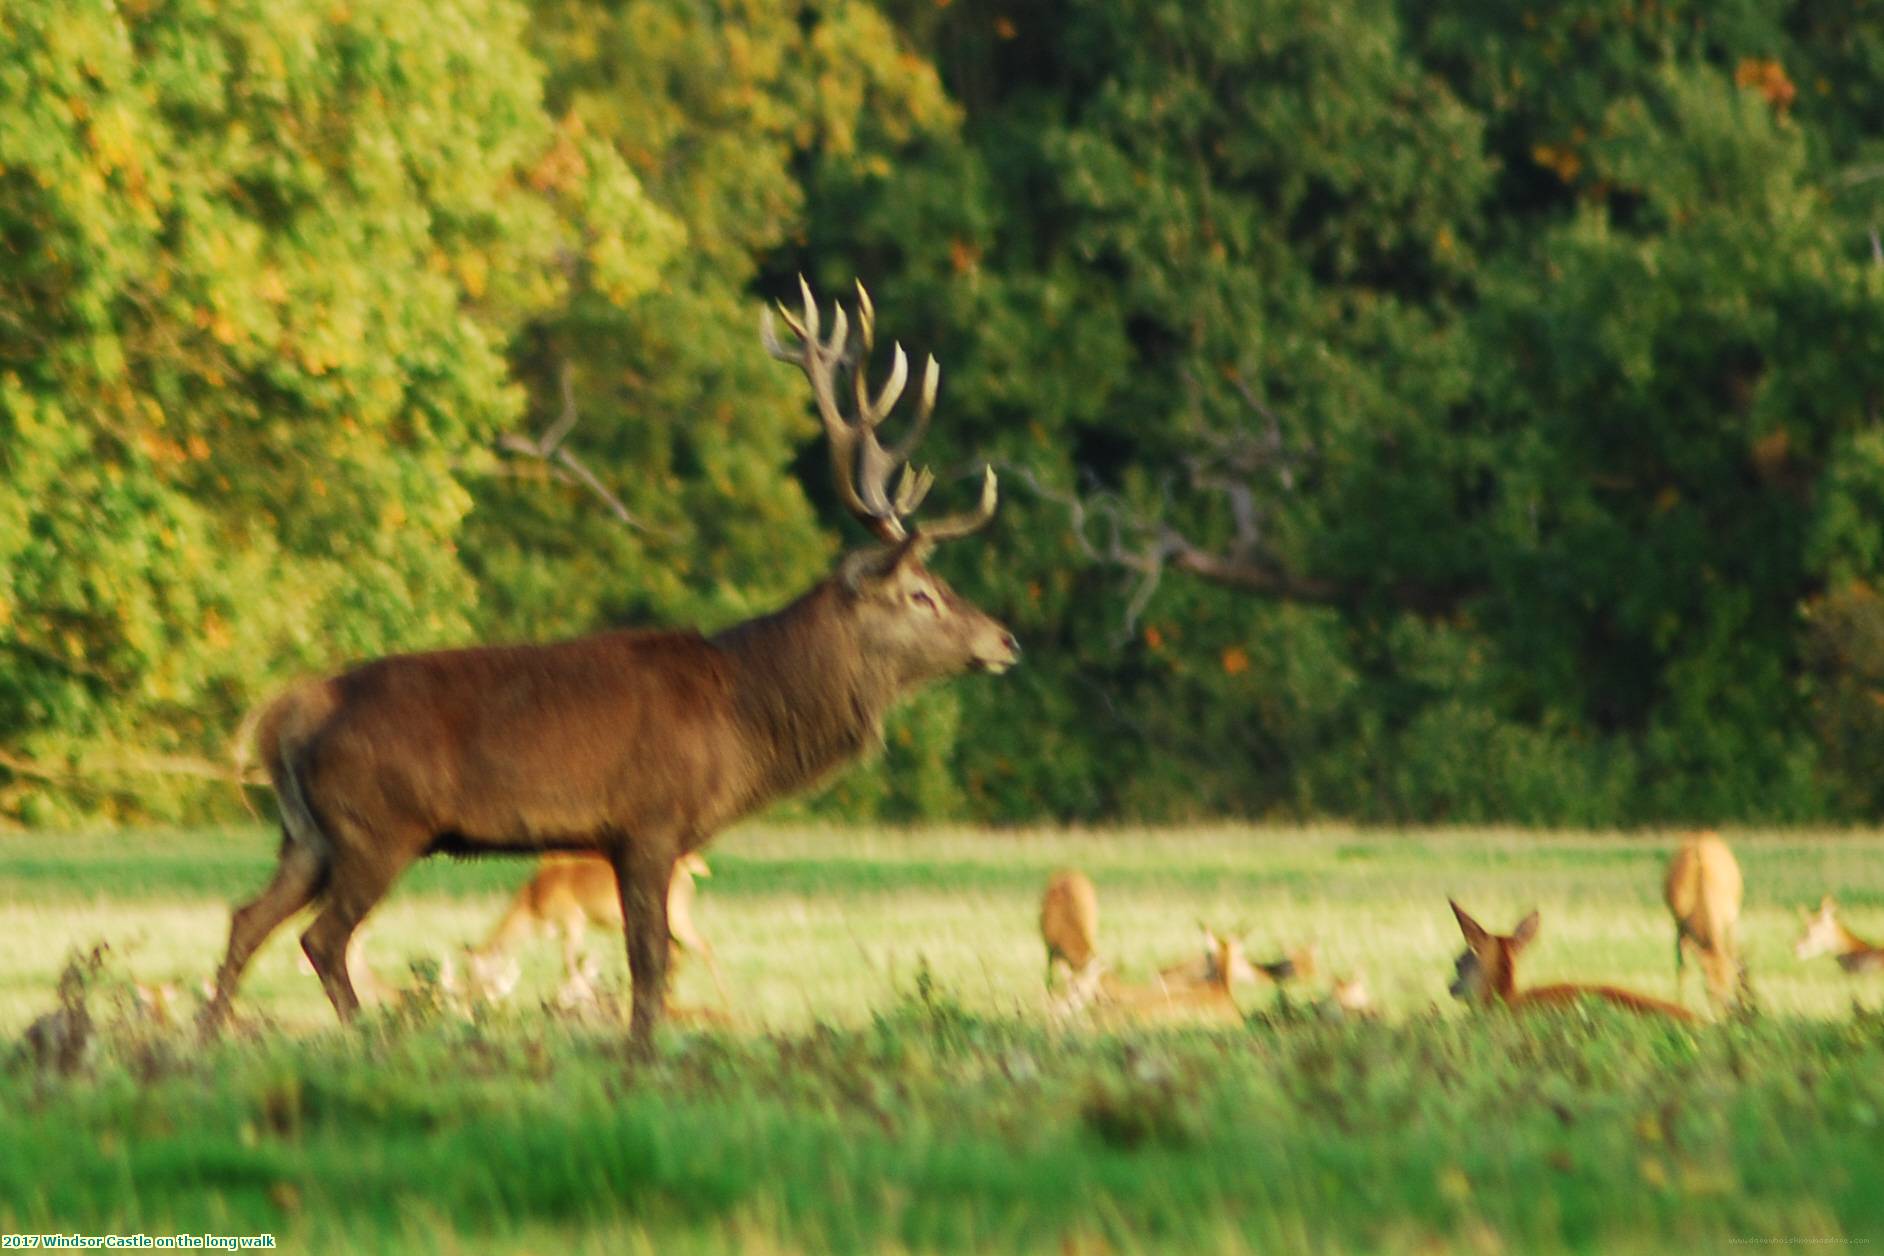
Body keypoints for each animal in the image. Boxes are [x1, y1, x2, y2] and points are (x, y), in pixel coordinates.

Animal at [463, 851, 719, 1009]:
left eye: (475, 971)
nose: (472, 1001)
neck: (532, 900)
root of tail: (689, 871)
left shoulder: (574, 923)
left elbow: (570, 966)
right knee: (676, 955)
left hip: (677, 917)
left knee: (704, 947)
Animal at [1665, 836, 1748, 1009]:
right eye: (1707, 989)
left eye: (1729, 986)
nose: (1722, 1012)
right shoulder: (1680, 924)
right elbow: (1682, 968)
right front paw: (1679, 1004)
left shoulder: (1731, 920)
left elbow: (1735, 958)